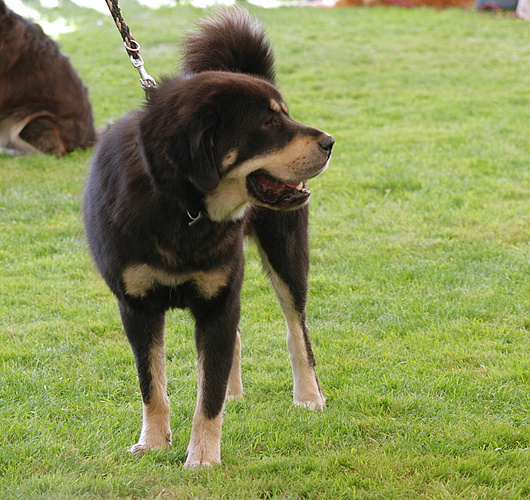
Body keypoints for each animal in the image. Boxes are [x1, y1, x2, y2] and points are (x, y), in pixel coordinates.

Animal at [83, 7, 330, 466]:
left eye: (285, 114)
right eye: (269, 121)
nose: (330, 142)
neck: (183, 208)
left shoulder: (218, 302)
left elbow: (207, 395)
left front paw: (202, 458)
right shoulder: (137, 307)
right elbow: (152, 385)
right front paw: (154, 442)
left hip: (286, 256)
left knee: (297, 331)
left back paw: (309, 396)